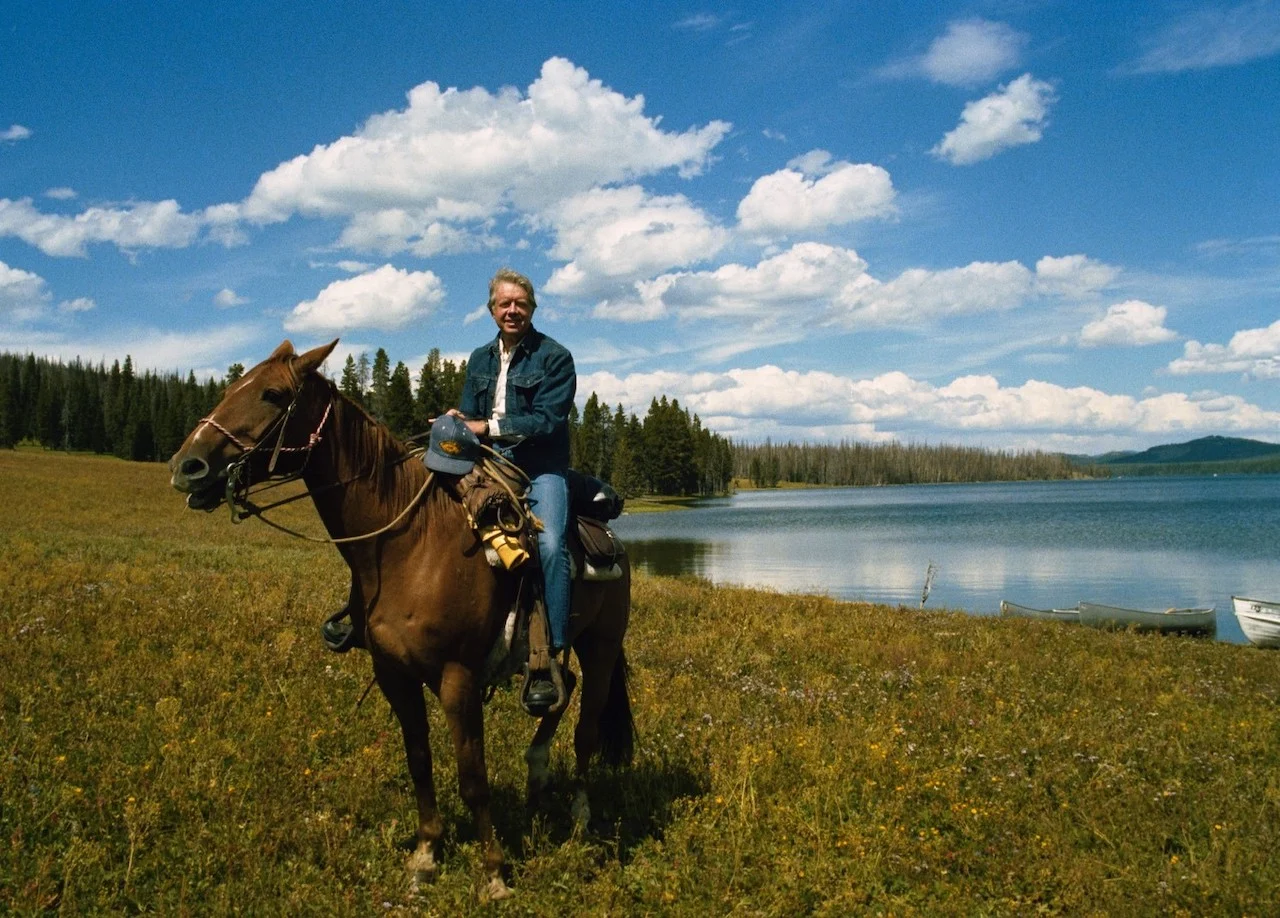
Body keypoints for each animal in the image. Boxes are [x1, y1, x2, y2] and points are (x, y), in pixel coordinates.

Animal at [167, 340, 632, 901]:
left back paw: (581, 813)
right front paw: (426, 855)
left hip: (602, 642)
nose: (187, 466)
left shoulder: (457, 678)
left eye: (273, 394)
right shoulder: (394, 675)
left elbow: (472, 776)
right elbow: (420, 763)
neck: (408, 544)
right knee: (561, 687)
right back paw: (538, 770)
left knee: (587, 725)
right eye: (231, 385)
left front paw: (494, 873)